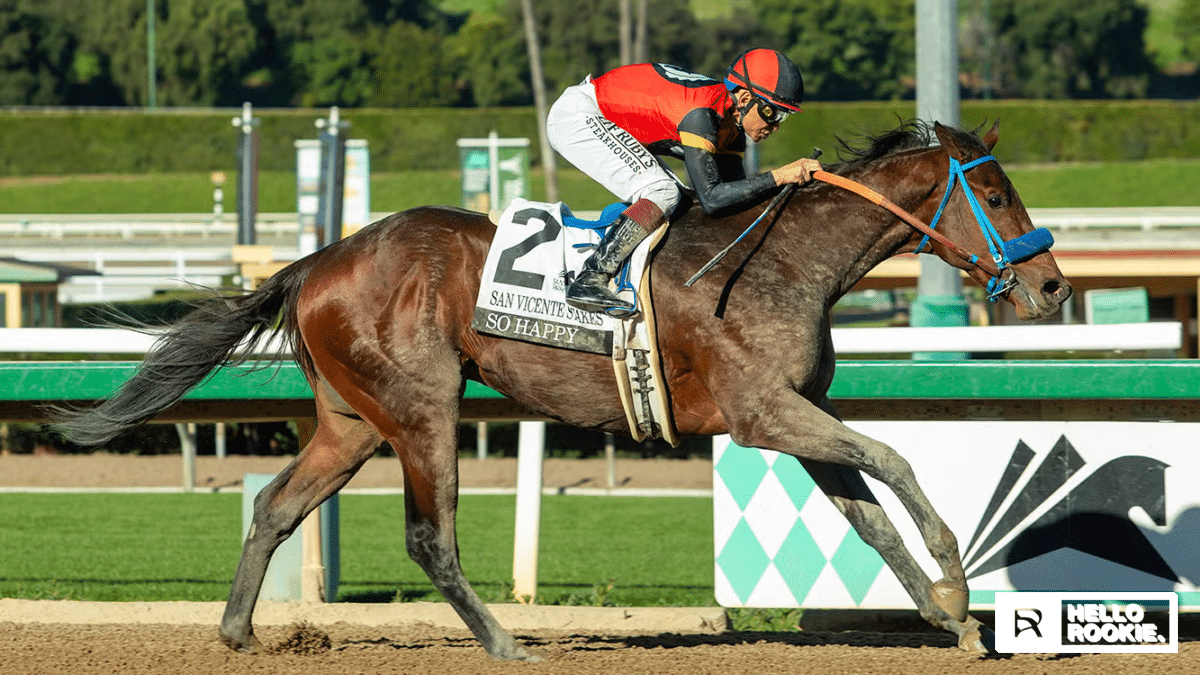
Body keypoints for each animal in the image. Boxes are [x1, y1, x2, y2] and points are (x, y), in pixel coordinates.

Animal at [53, 119, 1071, 660]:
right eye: (995, 193)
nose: (1053, 285)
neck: (784, 260)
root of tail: (319, 260)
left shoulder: (799, 415)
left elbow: (868, 512)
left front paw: (947, 615)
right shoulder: (764, 415)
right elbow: (894, 459)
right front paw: (956, 579)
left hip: (351, 422)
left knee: (274, 505)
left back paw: (237, 631)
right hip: (422, 408)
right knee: (429, 536)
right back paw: (505, 642)